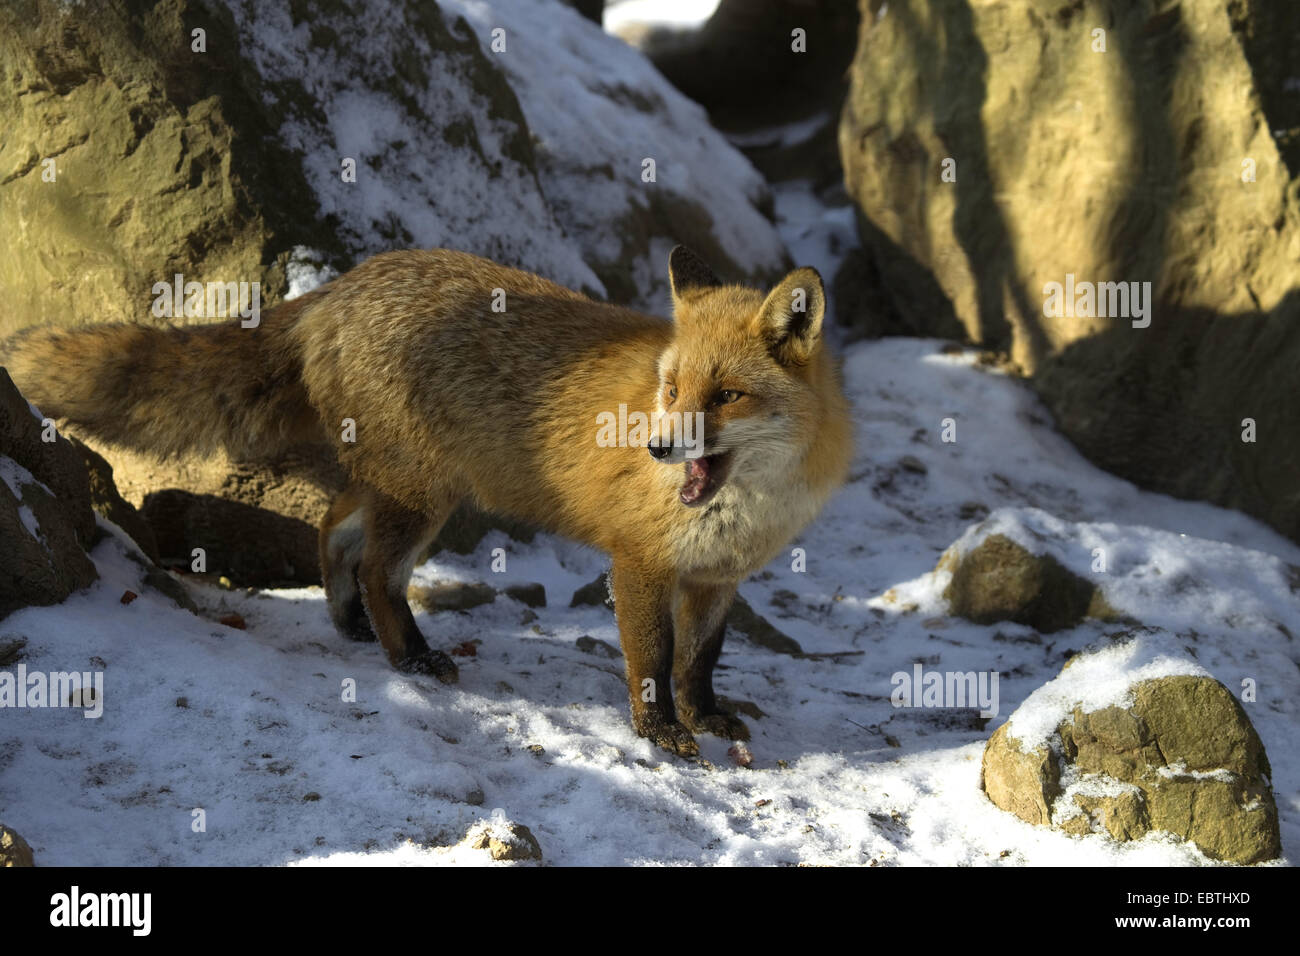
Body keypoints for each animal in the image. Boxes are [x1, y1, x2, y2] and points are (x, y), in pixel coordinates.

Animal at [5, 251, 852, 759]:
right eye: (672, 390)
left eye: (728, 396)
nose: (656, 447)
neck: (748, 502)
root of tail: (337, 288)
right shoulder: (640, 562)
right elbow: (651, 661)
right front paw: (660, 734)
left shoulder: (717, 578)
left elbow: (699, 660)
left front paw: (704, 716)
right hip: (427, 498)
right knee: (379, 571)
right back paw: (408, 654)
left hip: (404, 487)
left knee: (332, 528)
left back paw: (350, 626)